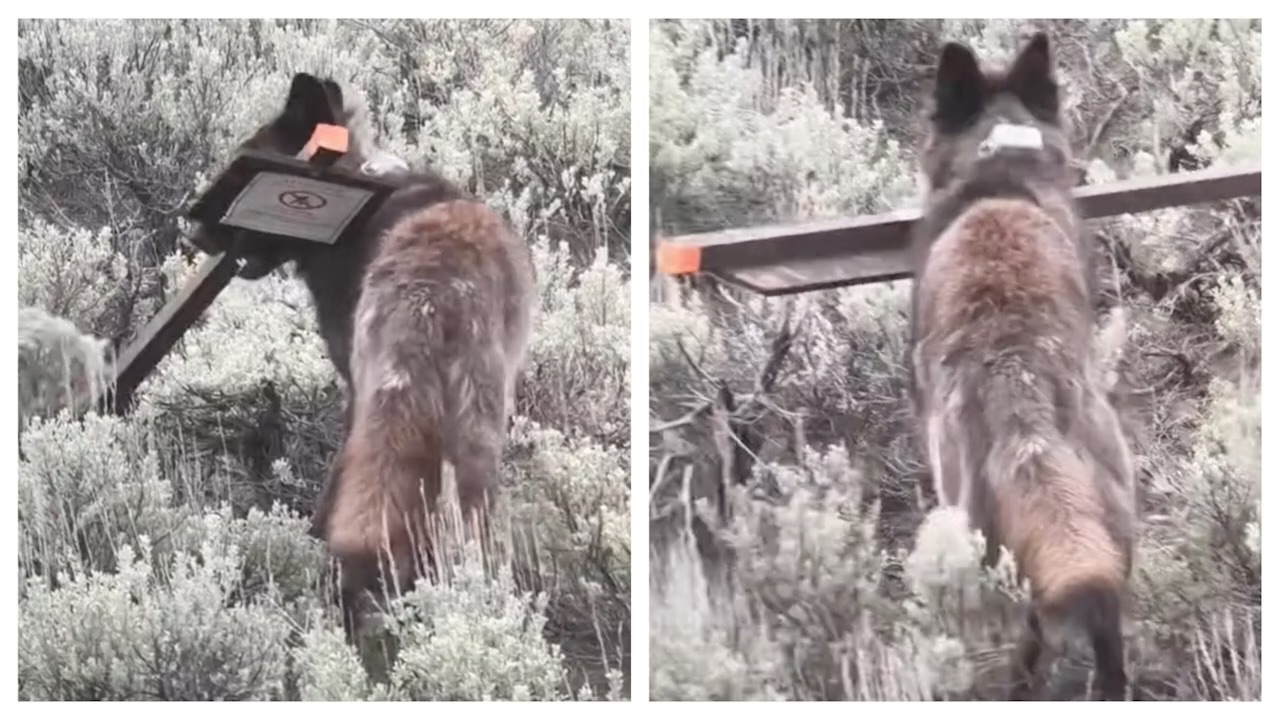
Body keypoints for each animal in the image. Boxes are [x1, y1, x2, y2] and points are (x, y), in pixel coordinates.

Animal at [907, 34, 1137, 700]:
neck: (1000, 166)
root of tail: (1017, 376)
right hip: (1110, 519)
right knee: (1105, 624)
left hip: (973, 524)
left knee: (1030, 629)